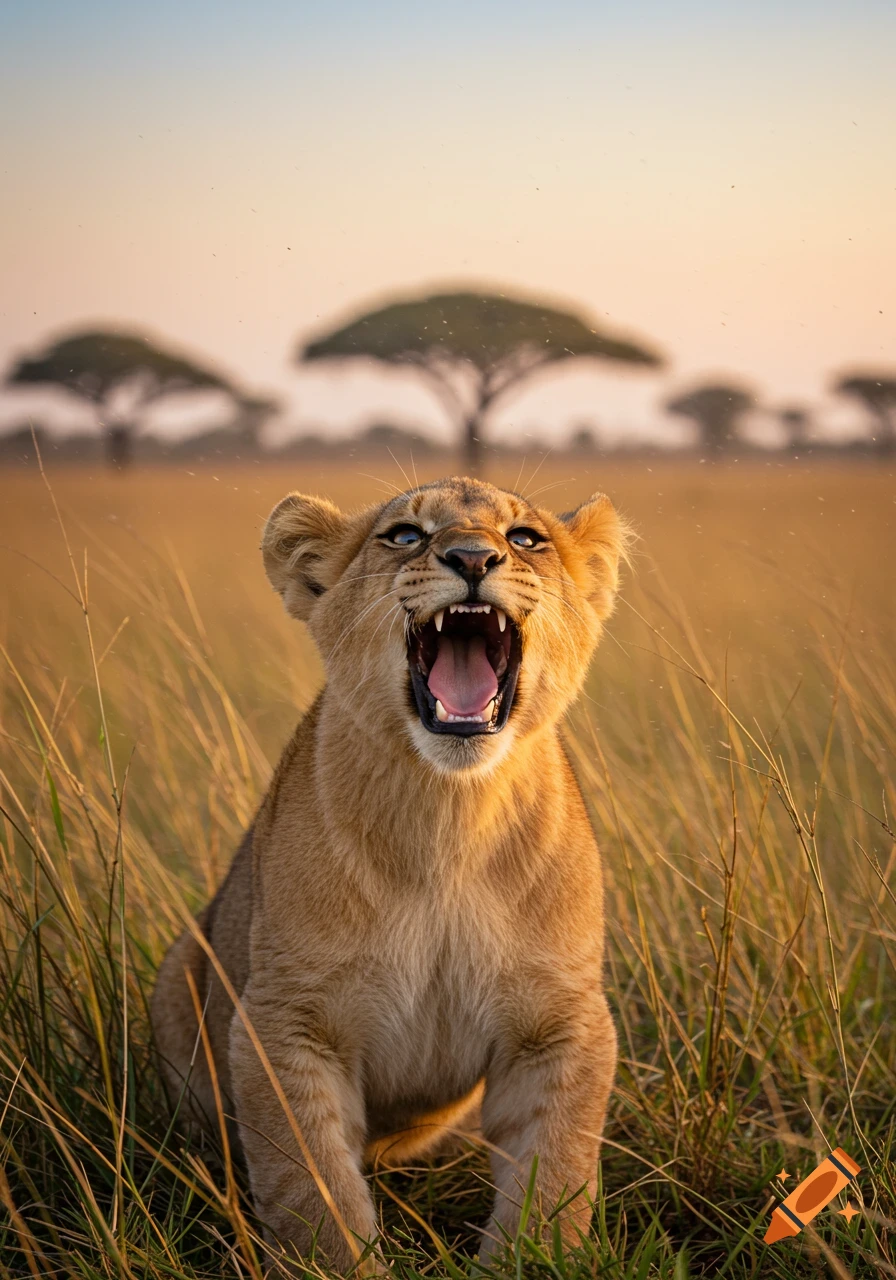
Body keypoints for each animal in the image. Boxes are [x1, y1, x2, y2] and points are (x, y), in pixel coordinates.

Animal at [151, 475, 626, 1272]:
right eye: (404, 535)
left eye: (526, 537)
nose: (473, 557)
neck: (448, 818)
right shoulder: (287, 1022)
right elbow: (313, 1191)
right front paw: (340, 1264)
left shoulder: (560, 1023)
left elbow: (553, 1178)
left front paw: (528, 1259)